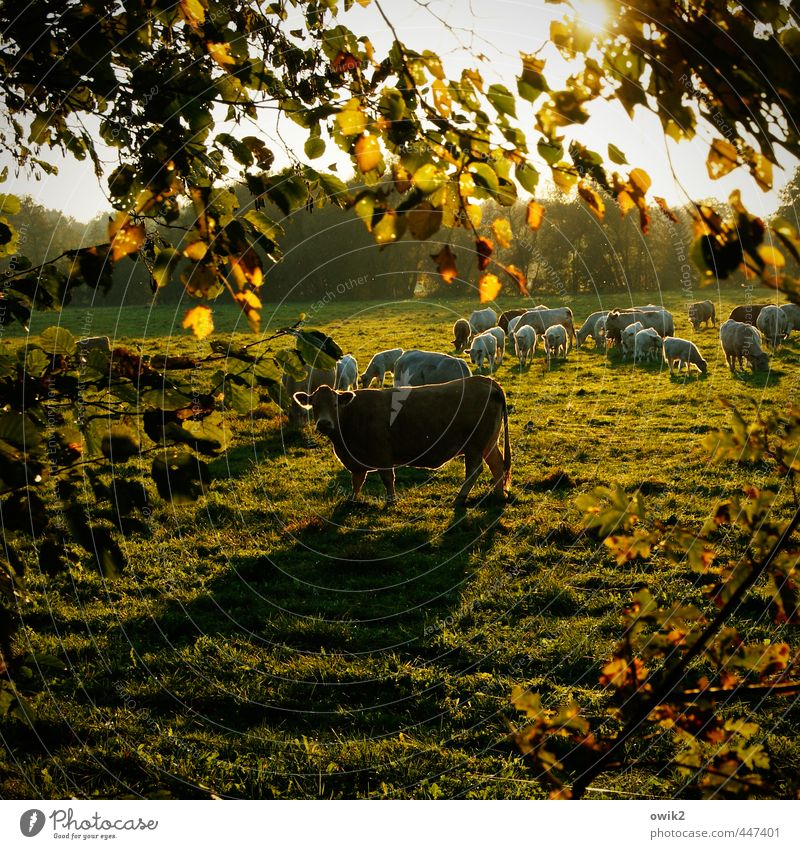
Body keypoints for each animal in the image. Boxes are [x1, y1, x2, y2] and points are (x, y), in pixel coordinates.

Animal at [296, 372, 512, 504]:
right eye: (314, 405)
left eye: (335, 404)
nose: (324, 423)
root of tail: (486, 381)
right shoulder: (357, 461)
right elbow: (357, 481)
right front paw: (353, 501)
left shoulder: (382, 454)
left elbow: (387, 479)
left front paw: (391, 501)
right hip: (488, 443)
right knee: (497, 465)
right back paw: (499, 495)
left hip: (475, 445)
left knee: (474, 470)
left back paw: (460, 499)